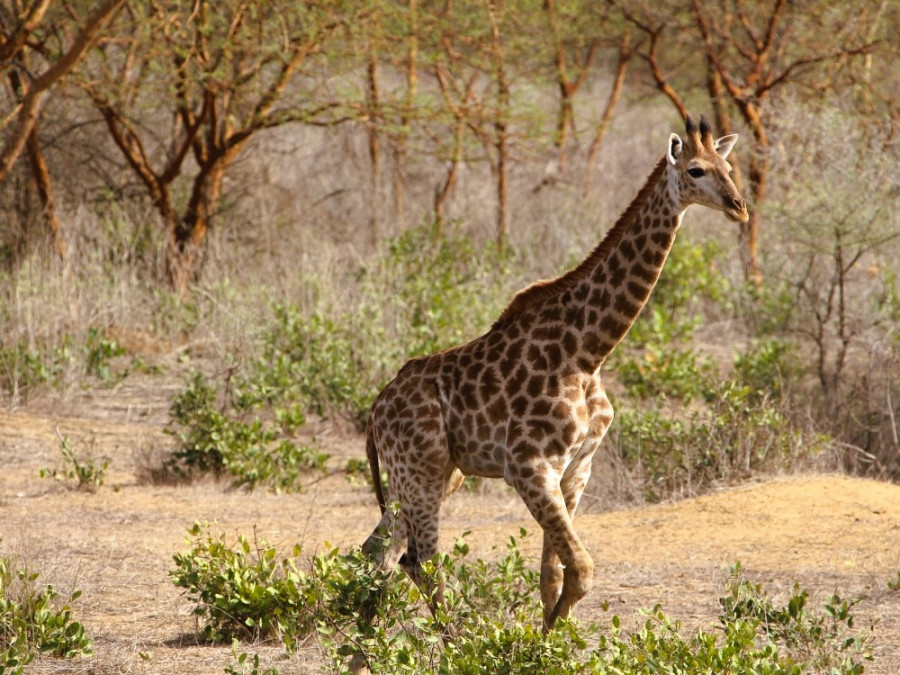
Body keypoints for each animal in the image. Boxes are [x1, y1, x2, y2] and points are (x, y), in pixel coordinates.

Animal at [362, 115, 748, 628]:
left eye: (729, 167)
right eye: (697, 170)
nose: (739, 208)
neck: (587, 353)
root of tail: (376, 408)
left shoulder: (576, 467)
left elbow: (552, 576)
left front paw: (548, 638)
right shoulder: (529, 466)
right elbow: (581, 570)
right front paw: (537, 640)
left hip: (439, 474)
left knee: (380, 550)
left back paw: (363, 641)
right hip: (419, 470)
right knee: (420, 560)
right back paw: (452, 640)